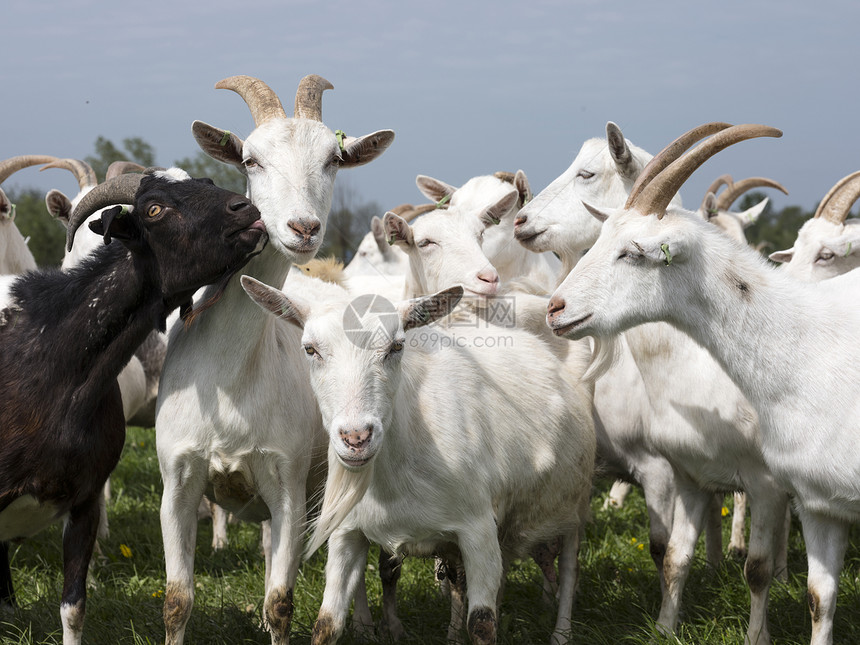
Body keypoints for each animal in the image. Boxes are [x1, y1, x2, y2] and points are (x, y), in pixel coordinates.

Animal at [155, 74, 394, 644]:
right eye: (251, 160)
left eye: (334, 159)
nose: (303, 228)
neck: (229, 380)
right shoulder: (177, 481)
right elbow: (177, 600)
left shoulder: (288, 484)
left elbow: (281, 601)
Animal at [239, 272, 596, 644]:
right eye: (310, 349)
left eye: (397, 346)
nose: (356, 438)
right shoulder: (346, 534)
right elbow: (326, 624)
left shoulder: (478, 529)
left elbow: (482, 624)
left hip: (576, 502)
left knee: (570, 568)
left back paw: (561, 632)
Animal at [512, 123, 788, 640]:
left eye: (587, 173)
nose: (520, 221)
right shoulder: (589, 470)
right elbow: (568, 546)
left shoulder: (661, 469)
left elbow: (662, 548)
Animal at [544, 122, 860, 644]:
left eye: (632, 252)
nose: (555, 308)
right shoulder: (711, 478)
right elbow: (678, 557)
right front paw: (664, 627)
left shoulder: (766, 483)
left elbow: (756, 568)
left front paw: (757, 633)